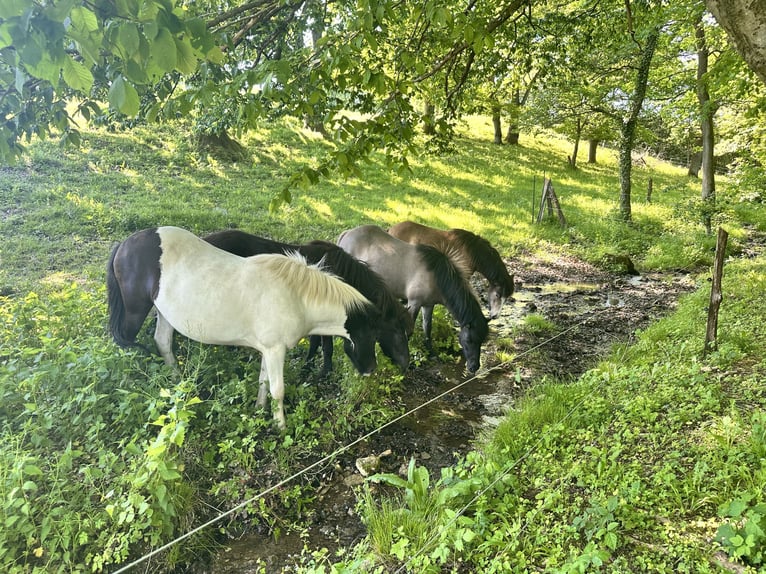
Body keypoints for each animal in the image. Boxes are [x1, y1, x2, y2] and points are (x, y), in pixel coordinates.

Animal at [106, 226, 381, 429]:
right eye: (369, 333)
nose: (371, 369)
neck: (296, 297)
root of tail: (124, 245)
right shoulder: (275, 350)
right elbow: (278, 389)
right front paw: (281, 426)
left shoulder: (268, 349)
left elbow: (263, 381)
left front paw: (259, 409)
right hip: (135, 312)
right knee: (125, 347)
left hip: (164, 314)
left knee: (162, 341)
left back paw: (178, 382)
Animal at [203, 229, 412, 375]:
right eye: (397, 331)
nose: (406, 364)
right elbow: (326, 347)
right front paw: (324, 372)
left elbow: (314, 343)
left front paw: (308, 367)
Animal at [337, 225, 489, 373]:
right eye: (470, 340)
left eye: (482, 341)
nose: (474, 367)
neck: (434, 276)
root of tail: (347, 233)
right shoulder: (414, 303)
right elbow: (409, 330)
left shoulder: (428, 305)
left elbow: (427, 328)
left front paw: (431, 353)